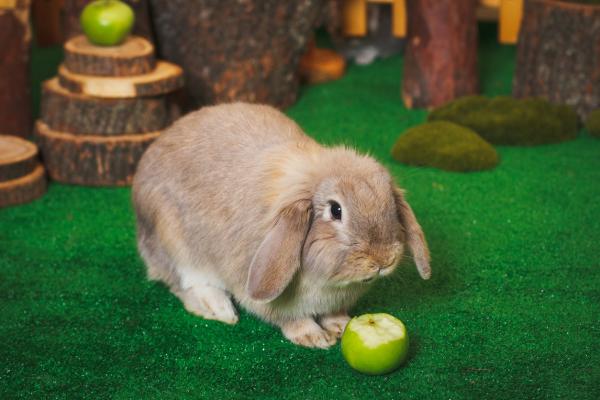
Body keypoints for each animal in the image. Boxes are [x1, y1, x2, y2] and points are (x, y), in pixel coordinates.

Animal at [132, 102, 432, 346]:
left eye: (389, 202)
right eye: (335, 210)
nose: (383, 260)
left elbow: (333, 315)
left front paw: (341, 325)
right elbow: (291, 320)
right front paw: (313, 337)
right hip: (173, 245)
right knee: (185, 285)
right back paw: (219, 308)